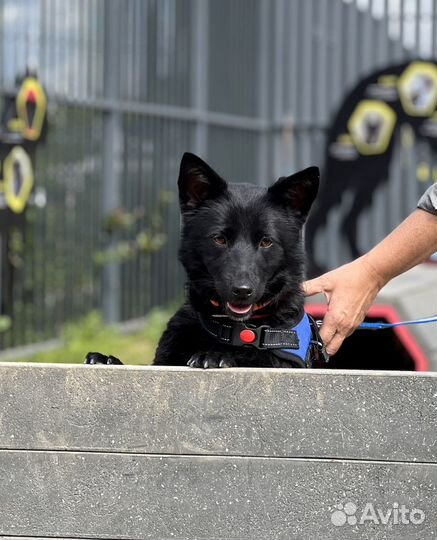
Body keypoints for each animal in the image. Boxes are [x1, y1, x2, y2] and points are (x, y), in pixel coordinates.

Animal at [87, 154, 326, 370]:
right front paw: (106, 359)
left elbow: (251, 358)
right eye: (219, 239)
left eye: (266, 242)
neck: (234, 330)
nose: (242, 291)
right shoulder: (162, 361)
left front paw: (215, 355)